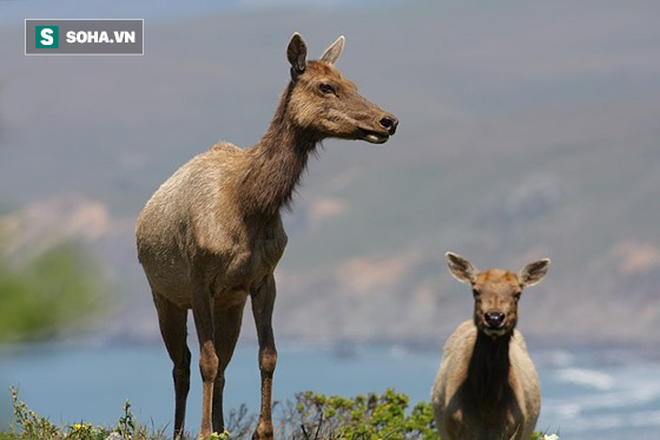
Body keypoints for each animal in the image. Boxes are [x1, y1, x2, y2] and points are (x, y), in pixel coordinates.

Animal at [134, 32, 398, 438]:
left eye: (352, 83)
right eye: (326, 86)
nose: (388, 120)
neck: (248, 208)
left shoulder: (263, 278)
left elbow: (267, 356)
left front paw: (261, 430)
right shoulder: (199, 278)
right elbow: (206, 361)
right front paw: (204, 432)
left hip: (230, 304)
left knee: (223, 365)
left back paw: (223, 425)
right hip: (164, 295)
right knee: (183, 364)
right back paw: (182, 430)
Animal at [430, 253, 548, 438]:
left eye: (518, 293)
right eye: (475, 291)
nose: (494, 317)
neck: (487, 406)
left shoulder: (515, 430)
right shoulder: (453, 431)